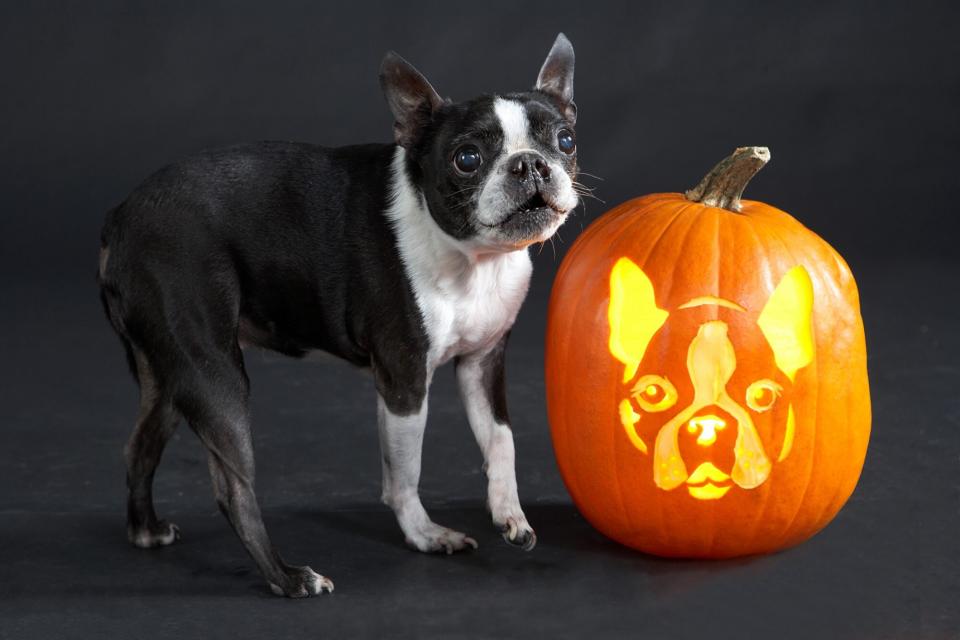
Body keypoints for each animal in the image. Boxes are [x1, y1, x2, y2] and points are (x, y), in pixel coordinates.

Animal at [97, 33, 576, 596]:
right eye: (467, 157)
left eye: (565, 140)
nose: (529, 164)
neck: (473, 260)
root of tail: (120, 218)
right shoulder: (403, 381)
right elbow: (404, 472)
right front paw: (424, 535)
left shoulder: (482, 363)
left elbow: (501, 440)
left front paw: (509, 515)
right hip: (211, 371)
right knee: (232, 489)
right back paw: (287, 577)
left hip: (169, 372)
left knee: (140, 445)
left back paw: (145, 530)